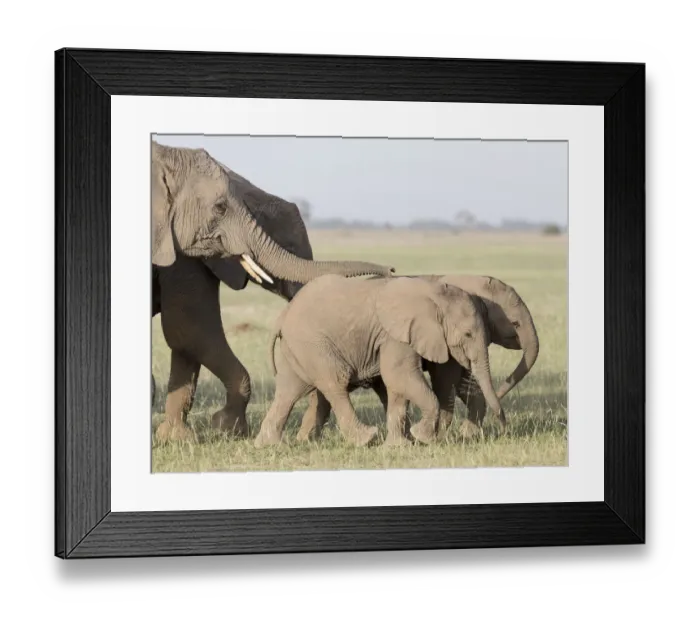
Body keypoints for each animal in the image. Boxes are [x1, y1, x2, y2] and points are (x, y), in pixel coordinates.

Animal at [151, 162, 374, 442]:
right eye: (289, 246)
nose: (391, 270)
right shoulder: (183, 257)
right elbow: (189, 329)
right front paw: (228, 428)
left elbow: (185, 340)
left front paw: (175, 437)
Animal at [254, 274, 504, 448]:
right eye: (468, 334)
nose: (503, 422)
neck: (433, 294)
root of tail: (284, 314)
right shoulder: (396, 335)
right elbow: (399, 376)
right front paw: (420, 436)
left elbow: (396, 386)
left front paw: (401, 446)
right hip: (313, 344)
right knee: (335, 382)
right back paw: (365, 438)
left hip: (298, 348)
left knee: (289, 390)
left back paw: (268, 444)